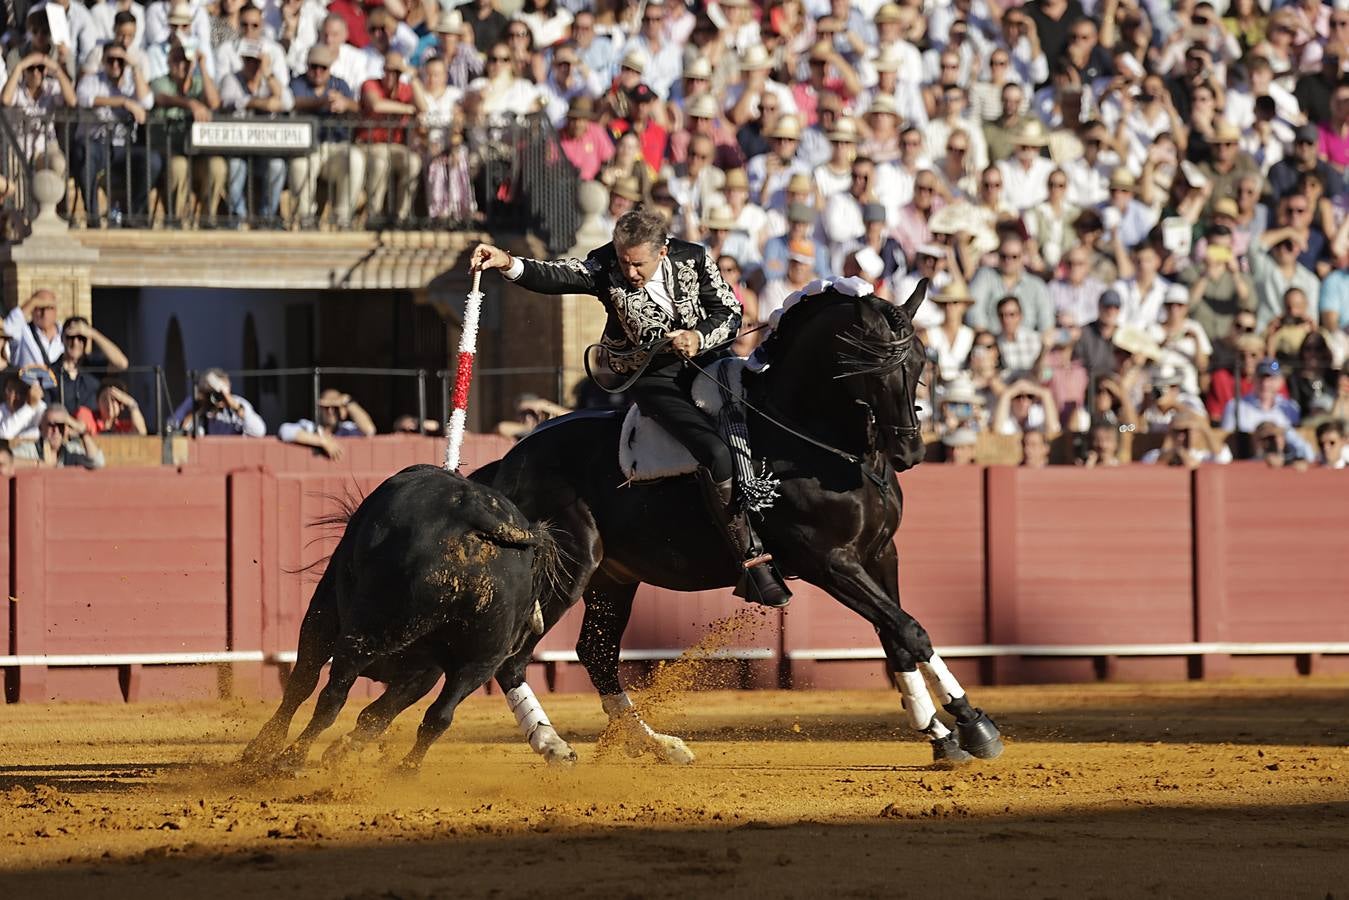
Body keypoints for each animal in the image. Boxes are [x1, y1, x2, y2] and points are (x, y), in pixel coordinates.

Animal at [244, 469, 558, 771]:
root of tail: (478, 514)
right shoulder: (427, 670)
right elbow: (378, 715)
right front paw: (340, 751)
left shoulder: (324, 610)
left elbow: (303, 680)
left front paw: (261, 748)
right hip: (479, 661)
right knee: (440, 716)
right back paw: (405, 769)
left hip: (367, 632)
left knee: (333, 695)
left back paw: (290, 758)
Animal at [482, 282, 1003, 766]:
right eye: (868, 366)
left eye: (918, 361)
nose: (910, 451)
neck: (813, 439)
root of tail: (508, 462)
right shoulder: (829, 563)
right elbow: (911, 631)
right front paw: (973, 725)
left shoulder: (880, 554)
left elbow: (896, 636)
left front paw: (942, 734)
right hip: (568, 568)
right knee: (512, 657)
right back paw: (552, 744)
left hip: (612, 580)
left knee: (597, 654)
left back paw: (659, 745)